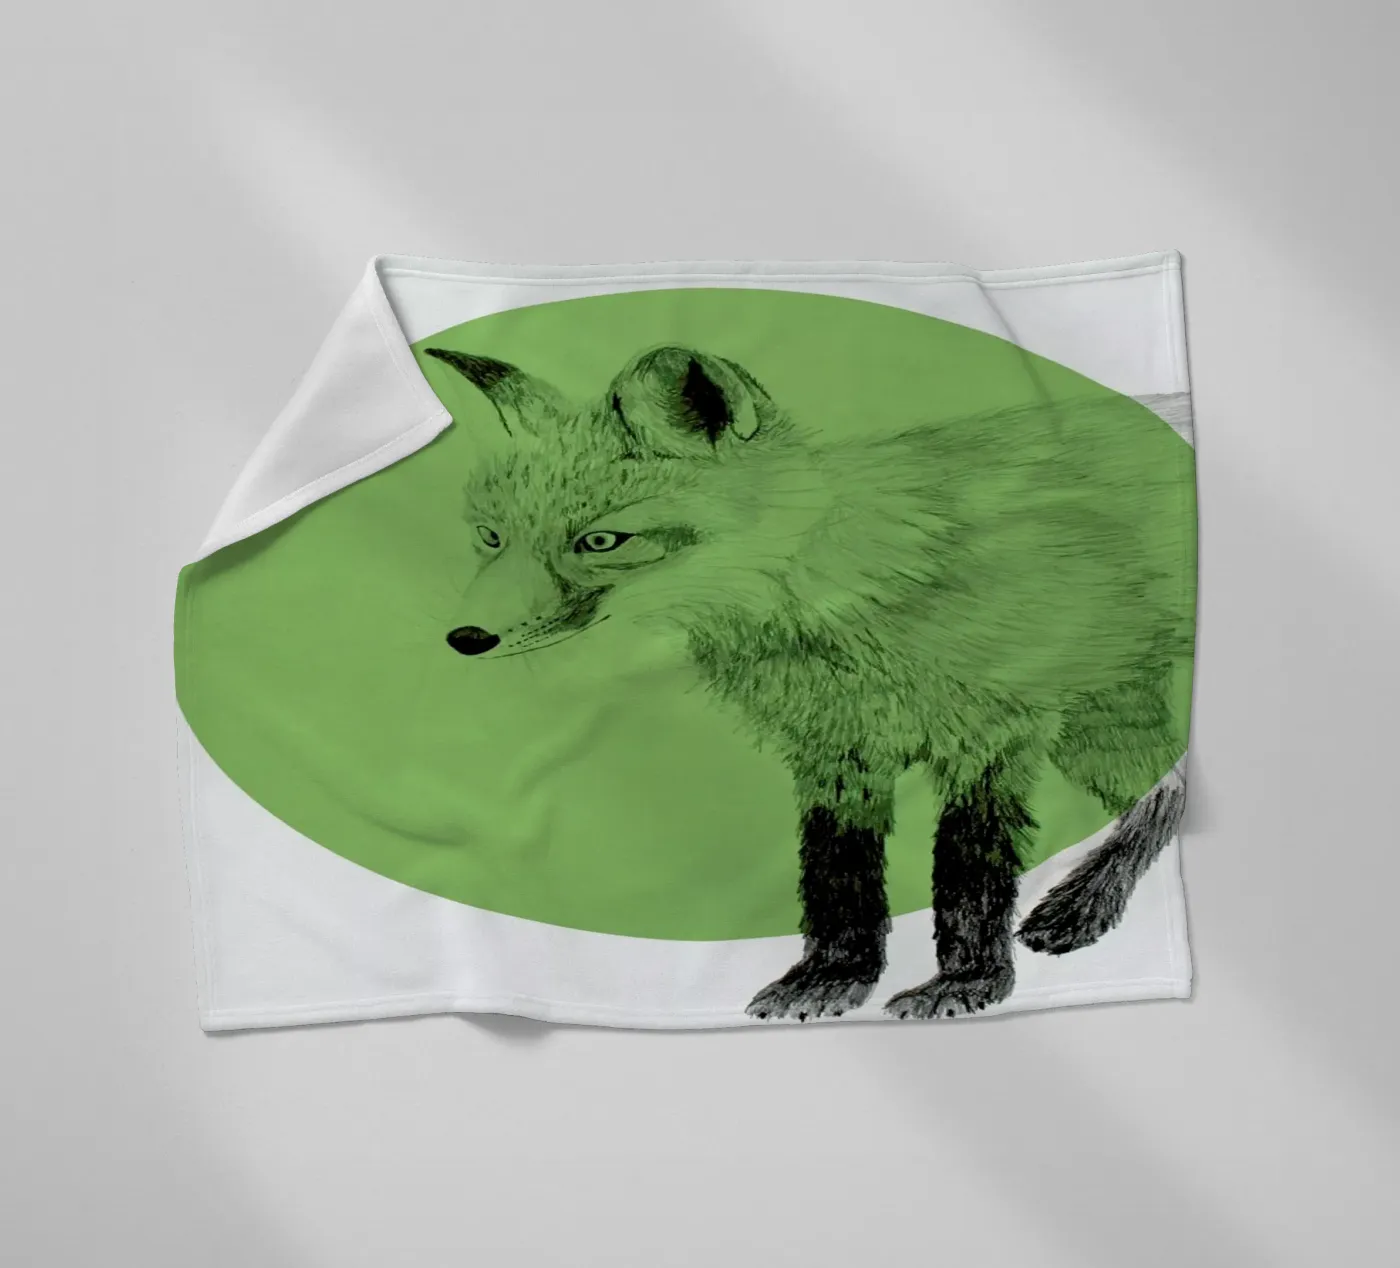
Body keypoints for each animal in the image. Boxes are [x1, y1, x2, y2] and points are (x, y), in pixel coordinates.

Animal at [425, 341, 1194, 1021]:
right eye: (491, 537)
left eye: (600, 542)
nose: (466, 640)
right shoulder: (835, 749)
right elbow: (837, 879)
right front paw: (834, 979)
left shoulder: (991, 737)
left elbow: (967, 877)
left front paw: (968, 981)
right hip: (1098, 721)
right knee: (1173, 785)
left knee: (1174, 786)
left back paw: (1082, 907)